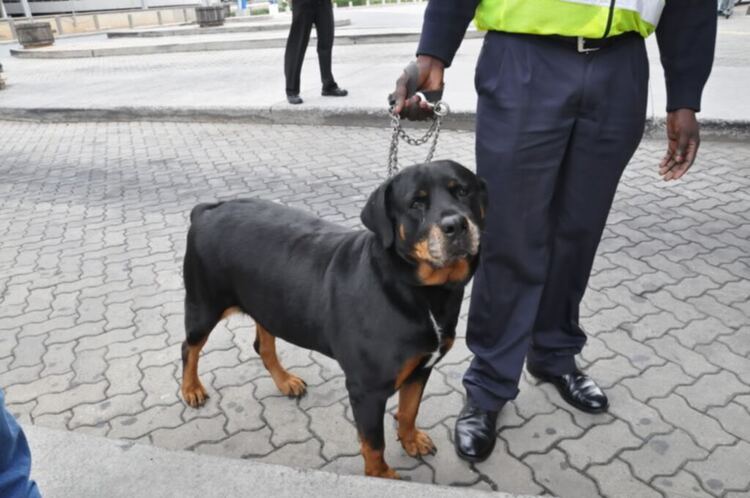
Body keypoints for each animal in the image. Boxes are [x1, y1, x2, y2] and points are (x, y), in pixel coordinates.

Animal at [181, 160, 488, 478]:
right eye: (416, 203)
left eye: (463, 191)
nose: (456, 225)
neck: (420, 291)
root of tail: (207, 209)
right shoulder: (366, 390)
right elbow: (373, 443)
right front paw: (380, 475)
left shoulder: (421, 367)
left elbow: (408, 409)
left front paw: (411, 439)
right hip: (204, 303)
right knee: (189, 348)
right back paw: (191, 389)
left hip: (266, 303)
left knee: (262, 345)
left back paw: (284, 380)